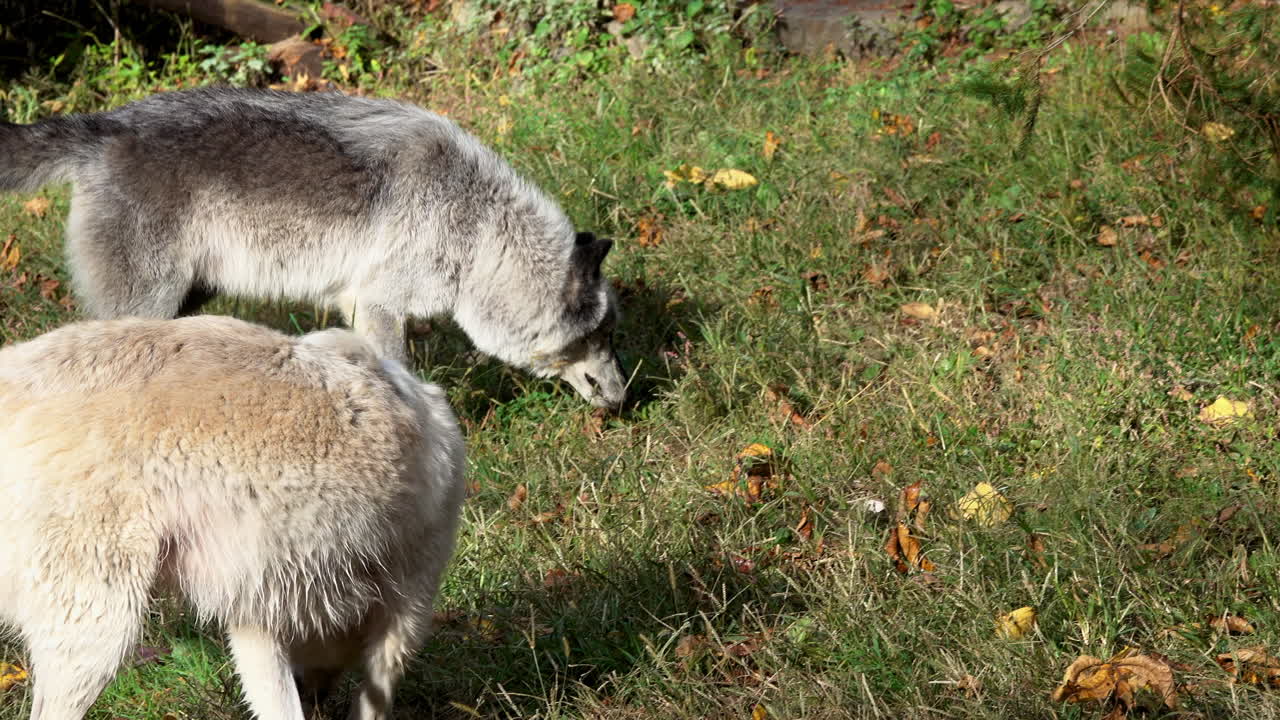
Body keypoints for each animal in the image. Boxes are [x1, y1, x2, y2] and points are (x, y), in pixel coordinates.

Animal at [0, 87, 626, 408]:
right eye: (602, 336)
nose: (626, 396)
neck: (479, 230)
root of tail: (101, 126)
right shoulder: (380, 304)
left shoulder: (354, 305)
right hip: (149, 307)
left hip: (190, 300)